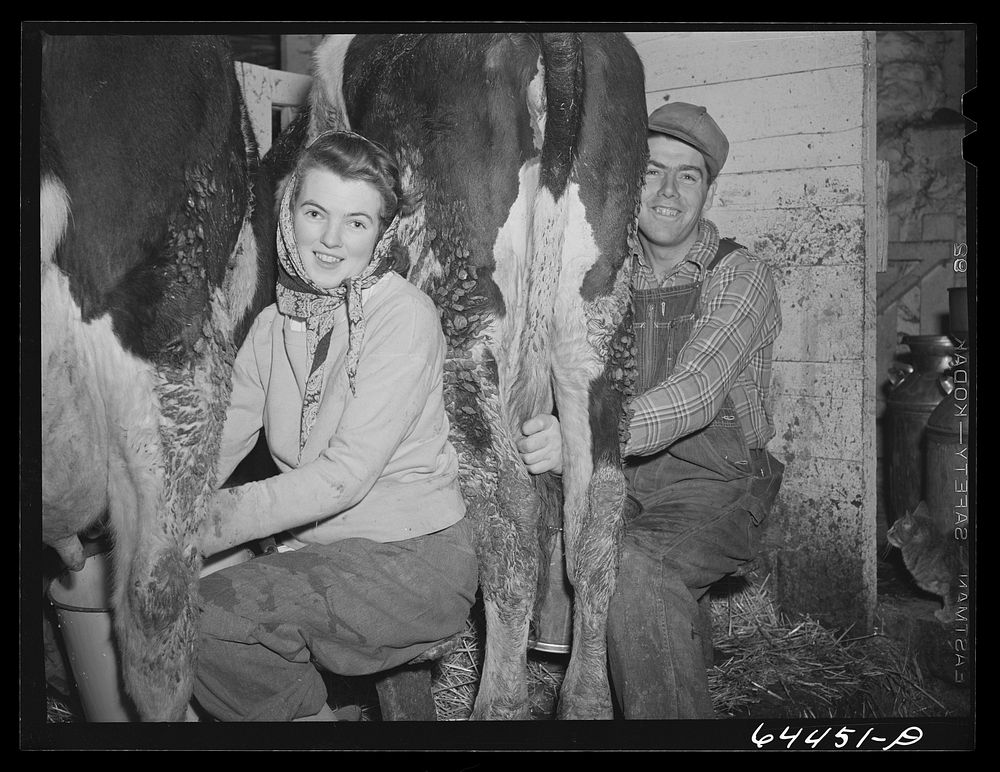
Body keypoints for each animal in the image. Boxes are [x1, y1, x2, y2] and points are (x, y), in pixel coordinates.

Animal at [266, 30, 644, 716]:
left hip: (456, 314)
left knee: (510, 512)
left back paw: (498, 702)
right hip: (599, 321)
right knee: (596, 518)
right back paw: (583, 700)